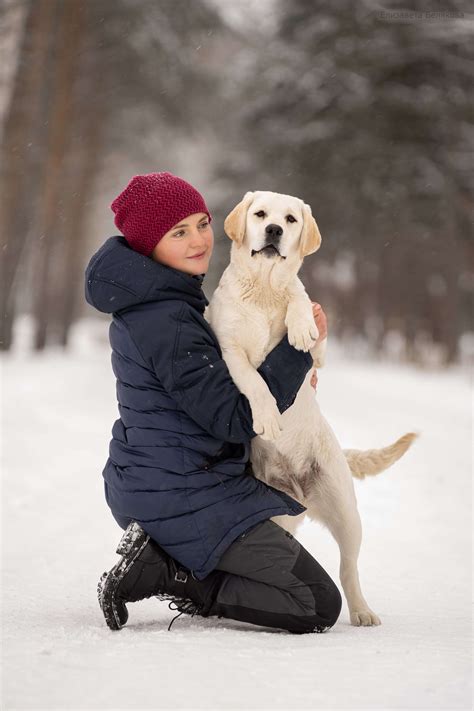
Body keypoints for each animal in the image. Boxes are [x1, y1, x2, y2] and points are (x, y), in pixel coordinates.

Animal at [204, 191, 414, 628]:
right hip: (276, 516)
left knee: (348, 569)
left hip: (347, 514)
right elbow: (255, 381)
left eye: (290, 219)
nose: (273, 230)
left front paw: (300, 326)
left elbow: (301, 300)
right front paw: (268, 417)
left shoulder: (320, 354)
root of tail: (301, 492)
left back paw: (362, 611)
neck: (264, 289)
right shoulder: (229, 351)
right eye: (260, 214)